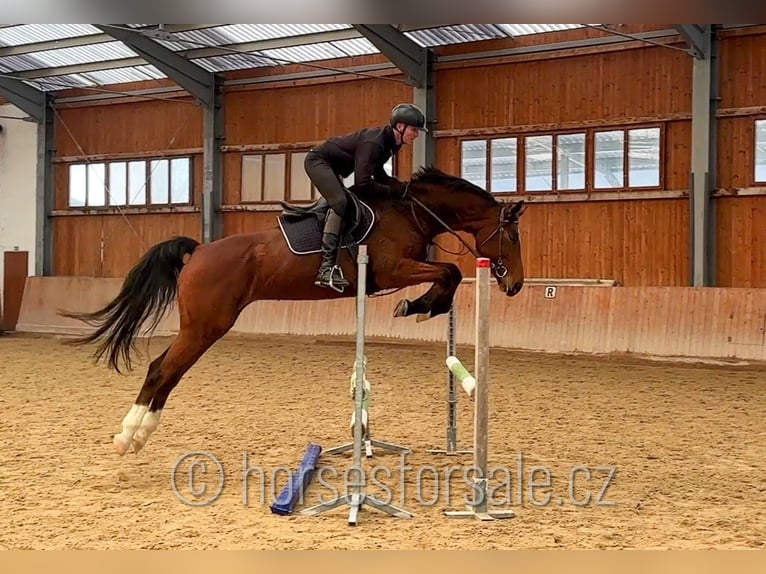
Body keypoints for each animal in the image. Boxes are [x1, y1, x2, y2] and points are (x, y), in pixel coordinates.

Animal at [62, 166, 526, 456]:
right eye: (512, 236)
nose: (517, 285)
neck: (411, 210)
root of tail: (198, 251)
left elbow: (449, 273)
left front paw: (424, 304)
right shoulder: (393, 268)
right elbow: (449, 271)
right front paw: (420, 305)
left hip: (203, 327)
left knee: (166, 370)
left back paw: (137, 436)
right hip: (206, 326)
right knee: (162, 369)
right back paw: (128, 437)